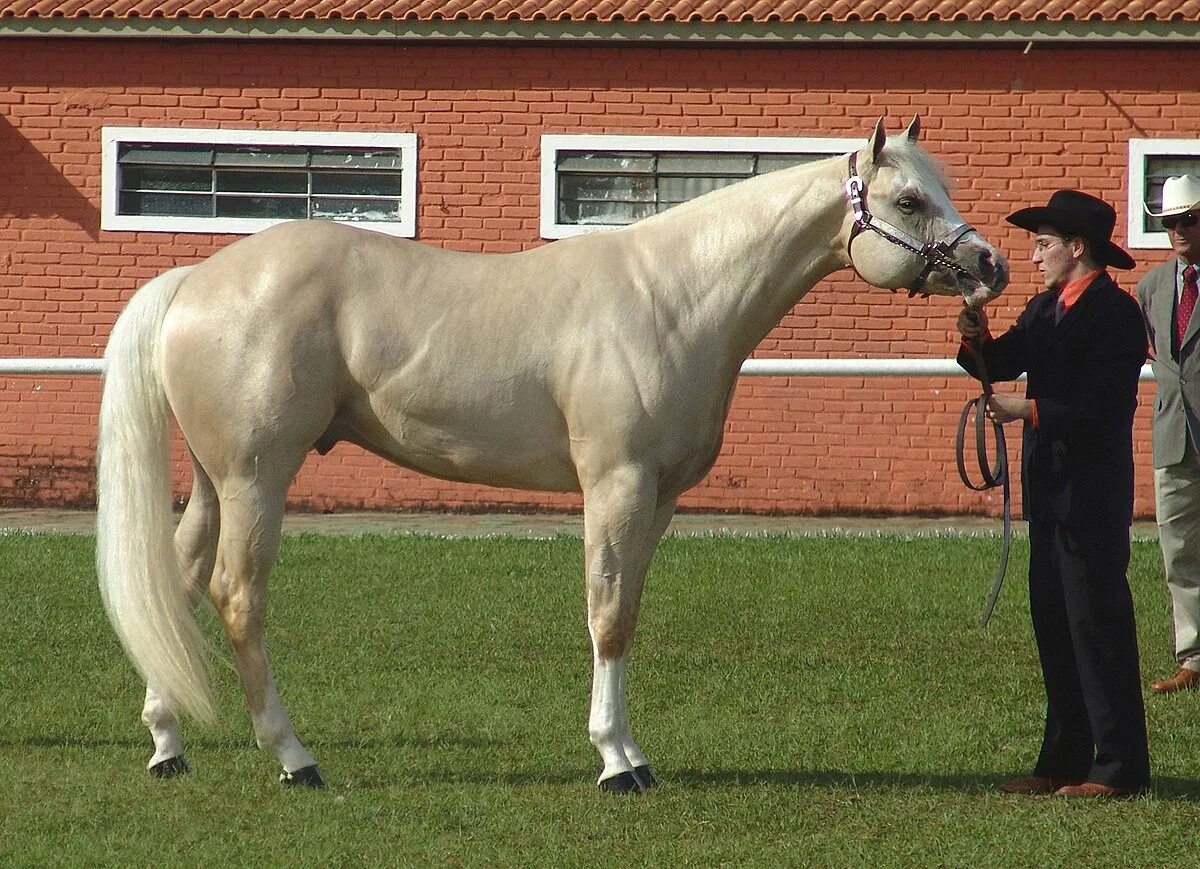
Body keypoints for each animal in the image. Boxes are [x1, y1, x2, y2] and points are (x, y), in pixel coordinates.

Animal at [98, 117, 1008, 792]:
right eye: (908, 196)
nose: (989, 265)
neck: (673, 296)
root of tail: (197, 278)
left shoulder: (659, 498)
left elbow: (629, 611)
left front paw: (632, 751)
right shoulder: (615, 484)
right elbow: (606, 613)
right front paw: (615, 761)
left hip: (215, 480)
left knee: (180, 579)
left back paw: (168, 742)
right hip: (257, 476)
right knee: (236, 596)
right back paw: (295, 758)